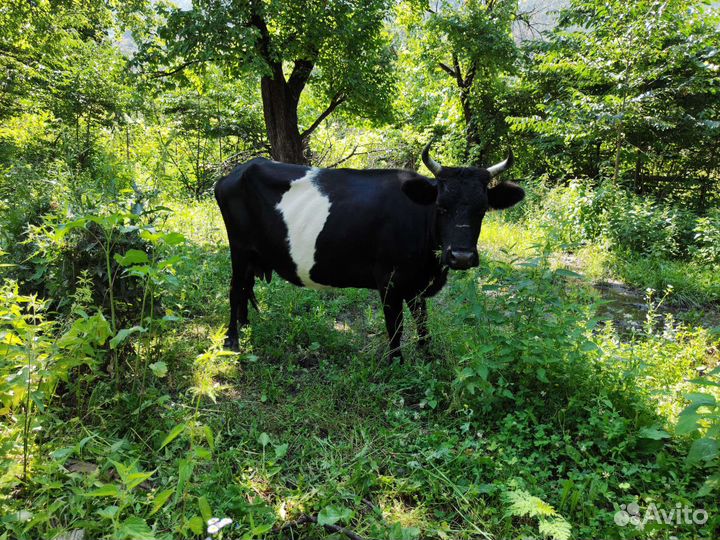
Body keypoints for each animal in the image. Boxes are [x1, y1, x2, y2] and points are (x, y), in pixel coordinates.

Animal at [214, 141, 524, 359]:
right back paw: (233, 340)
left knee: (246, 287)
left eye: (482, 210)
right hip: (238, 248)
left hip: (253, 253)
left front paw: (427, 356)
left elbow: (423, 322)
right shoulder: (388, 281)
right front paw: (397, 363)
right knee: (235, 289)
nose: (461, 257)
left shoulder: (416, 283)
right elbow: (396, 327)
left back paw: (245, 325)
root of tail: (240, 169)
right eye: (441, 207)